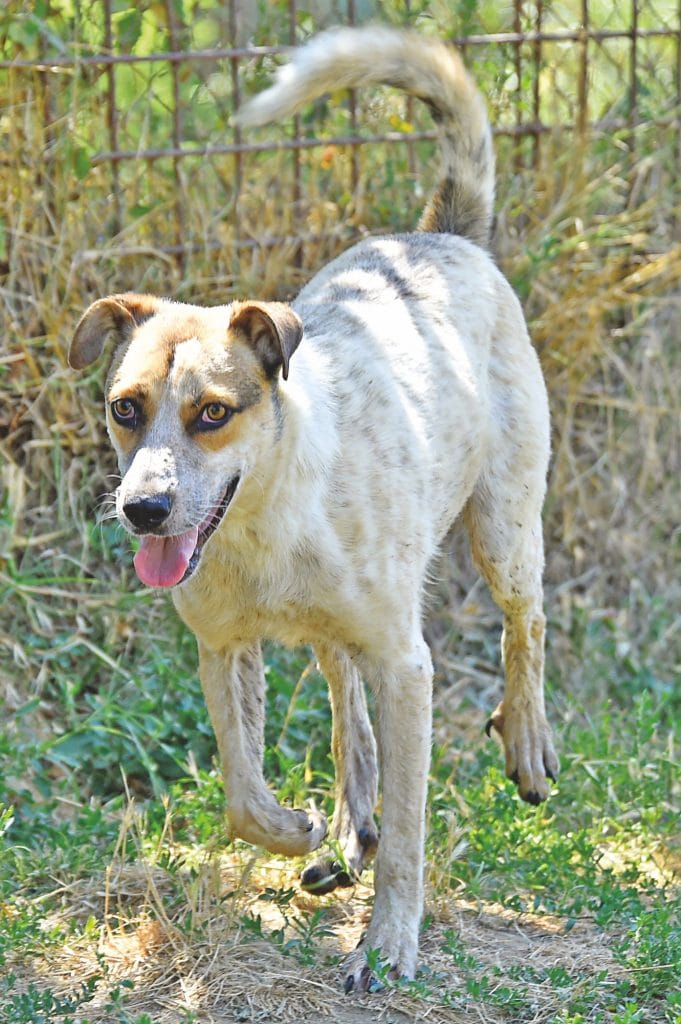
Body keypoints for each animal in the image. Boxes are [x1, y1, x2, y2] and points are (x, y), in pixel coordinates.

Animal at [67, 25, 557, 991]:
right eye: (125, 408)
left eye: (212, 412)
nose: (144, 509)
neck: (266, 525)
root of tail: (442, 234)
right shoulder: (223, 648)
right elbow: (240, 793)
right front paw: (297, 831)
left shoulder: (409, 666)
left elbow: (409, 836)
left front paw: (389, 943)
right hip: (350, 628)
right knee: (344, 707)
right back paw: (345, 824)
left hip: (504, 528)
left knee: (526, 622)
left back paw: (524, 742)